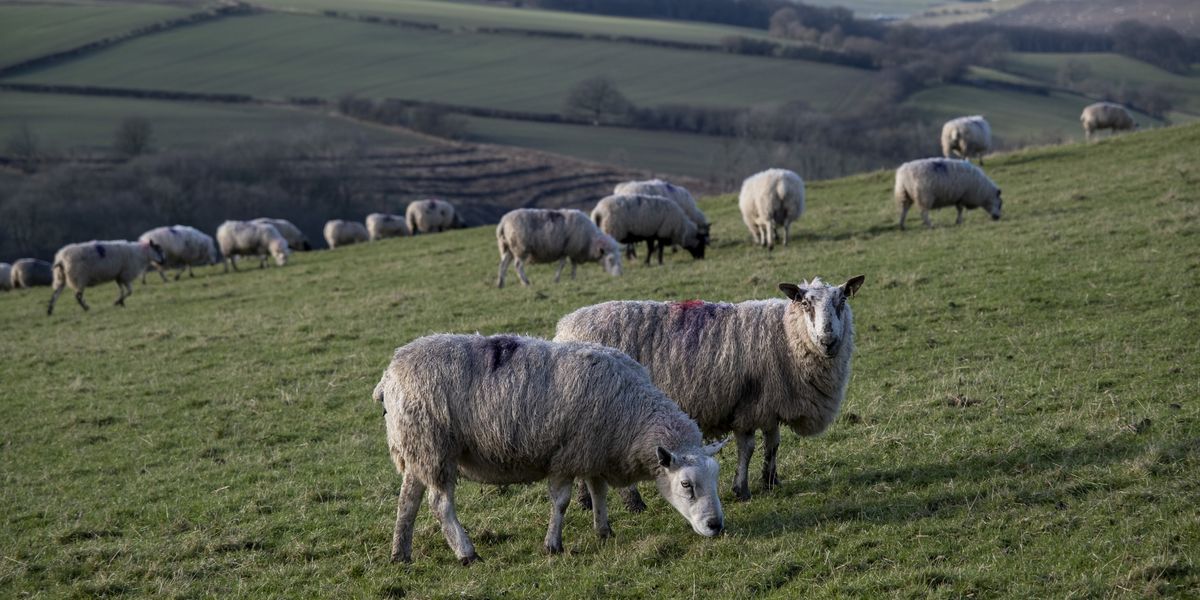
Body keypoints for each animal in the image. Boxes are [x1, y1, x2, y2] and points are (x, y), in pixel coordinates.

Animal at [374, 333, 728, 564]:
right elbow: (561, 502)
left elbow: (598, 491)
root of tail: (389, 373)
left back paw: (400, 553)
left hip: (417, 448)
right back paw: (466, 552)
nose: (716, 526)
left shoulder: (591, 452)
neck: (631, 414)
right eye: (686, 484)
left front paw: (604, 530)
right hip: (433, 447)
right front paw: (553, 545)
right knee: (440, 504)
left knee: (408, 501)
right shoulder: (567, 456)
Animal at [555, 275, 865, 506]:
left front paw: (771, 481)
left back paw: (586, 500)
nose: (828, 340)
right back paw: (633, 503)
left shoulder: (769, 403)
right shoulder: (749, 405)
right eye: (805, 303)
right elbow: (748, 448)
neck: (785, 336)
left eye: (842, 301)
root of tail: (564, 328)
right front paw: (742, 489)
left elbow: (773, 444)